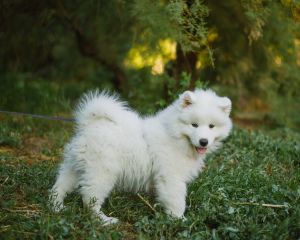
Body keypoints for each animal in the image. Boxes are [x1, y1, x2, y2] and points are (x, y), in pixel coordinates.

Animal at [50, 88, 232, 225]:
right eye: (194, 124)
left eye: (211, 126)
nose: (203, 141)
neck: (174, 134)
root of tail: (89, 124)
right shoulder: (171, 177)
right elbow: (177, 201)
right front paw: (179, 220)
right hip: (102, 171)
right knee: (90, 197)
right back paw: (103, 220)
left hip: (75, 164)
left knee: (60, 185)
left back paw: (56, 207)